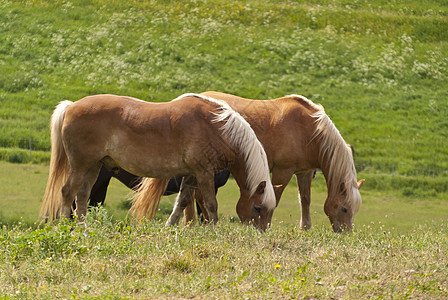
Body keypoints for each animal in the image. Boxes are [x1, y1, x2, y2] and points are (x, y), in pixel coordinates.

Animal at [39, 94, 276, 232]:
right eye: (257, 207)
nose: (261, 234)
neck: (215, 127)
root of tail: (71, 106)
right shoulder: (204, 173)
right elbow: (210, 205)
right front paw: (215, 232)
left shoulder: (191, 174)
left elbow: (182, 203)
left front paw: (168, 228)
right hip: (80, 164)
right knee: (68, 192)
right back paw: (65, 228)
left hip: (94, 166)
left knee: (82, 196)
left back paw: (84, 229)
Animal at [142, 91, 362, 232]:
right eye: (344, 208)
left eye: (353, 210)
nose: (346, 233)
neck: (309, 130)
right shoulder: (283, 171)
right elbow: (276, 198)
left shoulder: (304, 172)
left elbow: (305, 200)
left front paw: (305, 229)